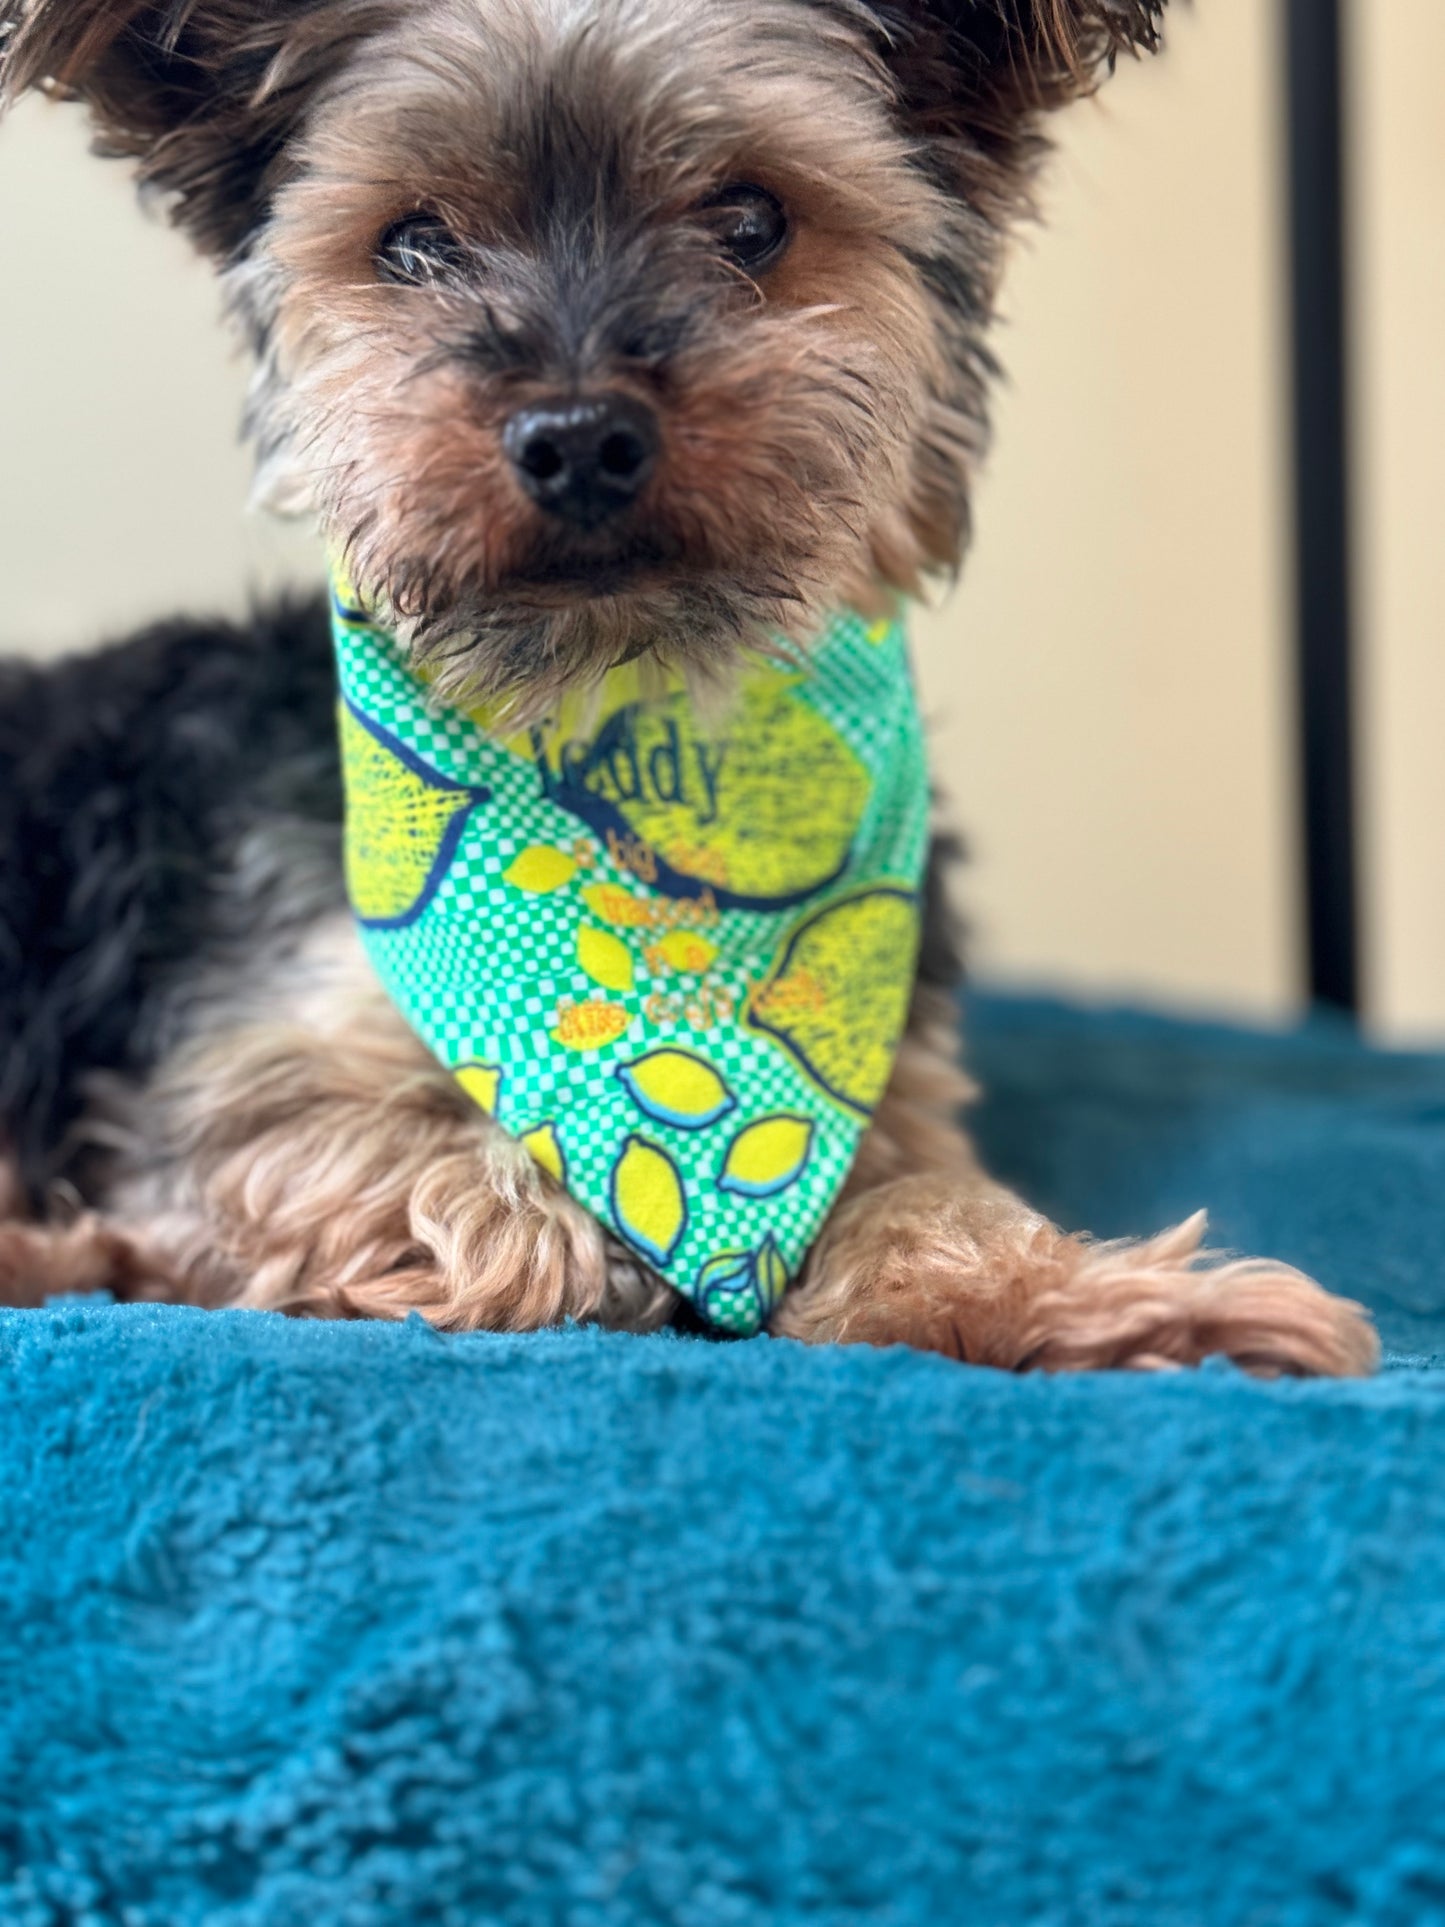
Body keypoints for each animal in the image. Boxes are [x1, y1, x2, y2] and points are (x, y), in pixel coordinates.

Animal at [0, 7, 1387, 1379]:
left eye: (752, 219)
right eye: (416, 243)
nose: (574, 436)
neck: (619, 724)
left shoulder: (887, 1096)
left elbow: (925, 1208)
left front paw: (1114, 1309)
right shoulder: (245, 1065)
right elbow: (501, 1214)